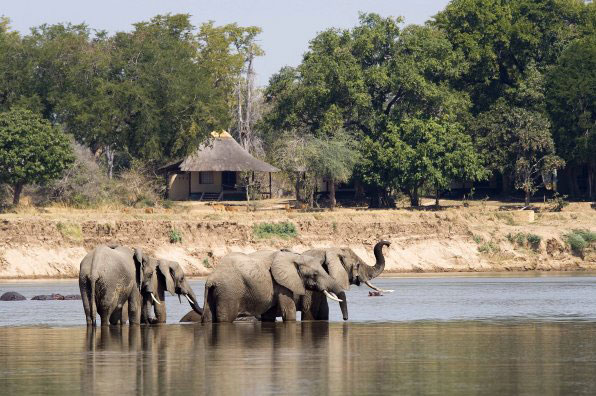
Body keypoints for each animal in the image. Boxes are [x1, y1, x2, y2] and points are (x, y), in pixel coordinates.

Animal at [201, 252, 344, 324]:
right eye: (315, 274)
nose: (345, 319)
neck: (294, 258)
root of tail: (211, 278)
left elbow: (269, 315)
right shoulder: (282, 284)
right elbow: (288, 311)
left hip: (215, 292)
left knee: (208, 317)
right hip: (229, 292)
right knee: (225, 318)